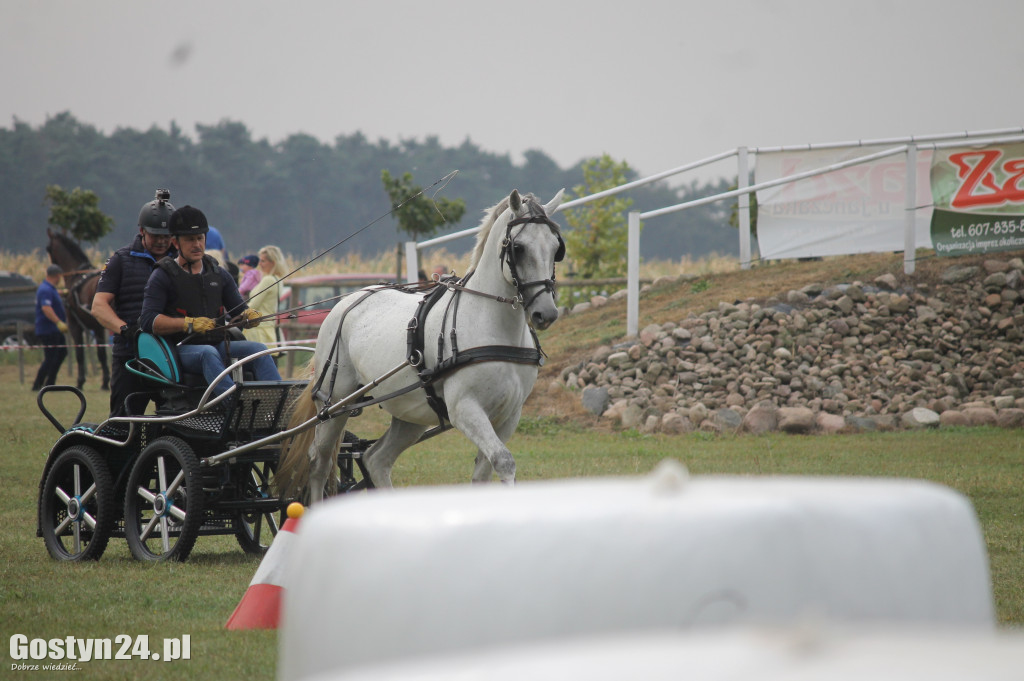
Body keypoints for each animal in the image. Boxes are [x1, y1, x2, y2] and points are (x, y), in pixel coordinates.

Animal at [278, 188, 569, 501]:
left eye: (556, 248)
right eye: (519, 248)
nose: (545, 313)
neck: (492, 327)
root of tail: (349, 300)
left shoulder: (509, 415)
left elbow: (485, 470)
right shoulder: (464, 409)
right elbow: (504, 460)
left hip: (410, 414)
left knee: (376, 460)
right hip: (334, 405)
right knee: (319, 463)